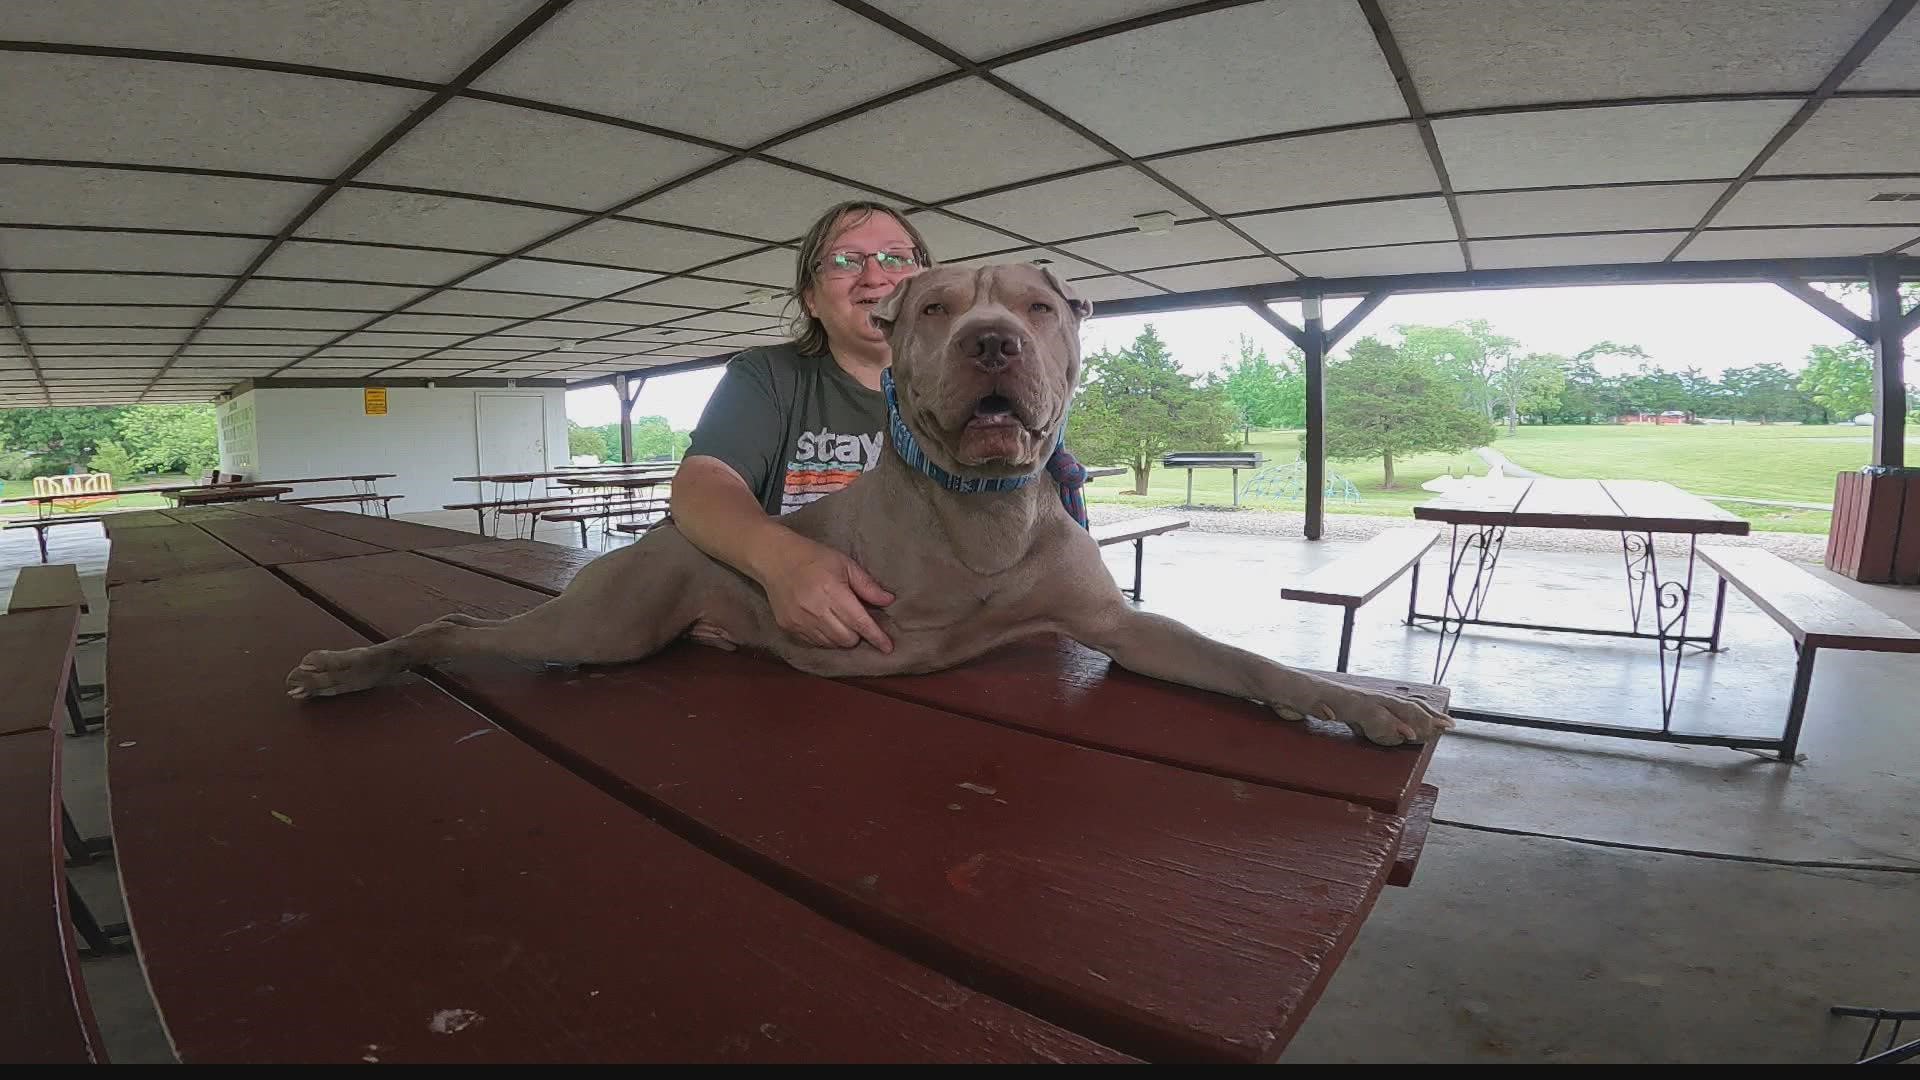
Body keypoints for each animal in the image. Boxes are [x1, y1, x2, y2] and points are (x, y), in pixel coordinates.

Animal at [284, 265, 1451, 745]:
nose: (994, 342)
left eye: (1038, 306)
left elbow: (1247, 662)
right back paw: (345, 667)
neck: (982, 503)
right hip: (601, 626)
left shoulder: (1121, 628)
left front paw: (1366, 701)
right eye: (933, 308)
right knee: (454, 626)